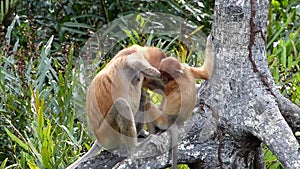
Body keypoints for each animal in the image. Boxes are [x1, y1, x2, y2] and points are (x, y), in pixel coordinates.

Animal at [145, 34, 213, 169]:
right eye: (162, 72)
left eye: (166, 74)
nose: (162, 77)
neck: (180, 73)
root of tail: (174, 122)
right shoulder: (186, 67)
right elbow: (206, 73)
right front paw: (209, 43)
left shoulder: (172, 83)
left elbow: (162, 93)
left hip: (162, 120)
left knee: (148, 106)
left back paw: (151, 135)